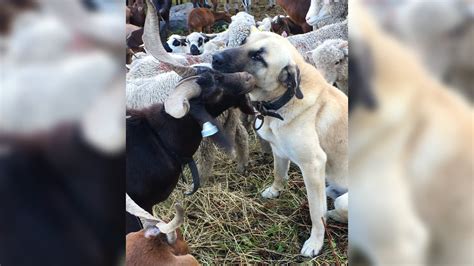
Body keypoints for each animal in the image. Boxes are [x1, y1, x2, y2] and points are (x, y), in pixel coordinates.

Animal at [213, 30, 346, 256]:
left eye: (258, 56)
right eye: (243, 41)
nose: (214, 58)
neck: (284, 99)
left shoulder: (313, 165)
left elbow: (315, 212)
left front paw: (315, 242)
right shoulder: (279, 151)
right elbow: (278, 173)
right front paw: (275, 190)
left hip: (343, 199)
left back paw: (332, 214)